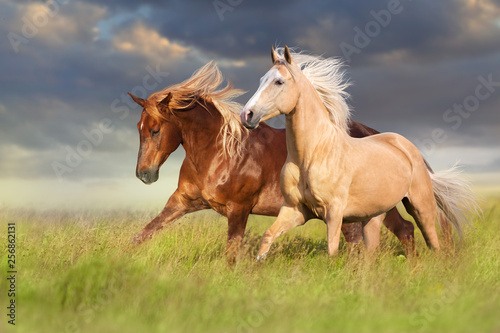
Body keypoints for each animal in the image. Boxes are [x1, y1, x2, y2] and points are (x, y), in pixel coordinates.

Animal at [128, 61, 414, 260]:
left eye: (155, 130)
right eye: (139, 128)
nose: (144, 174)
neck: (220, 153)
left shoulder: (239, 209)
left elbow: (232, 253)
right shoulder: (182, 202)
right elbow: (143, 234)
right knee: (404, 230)